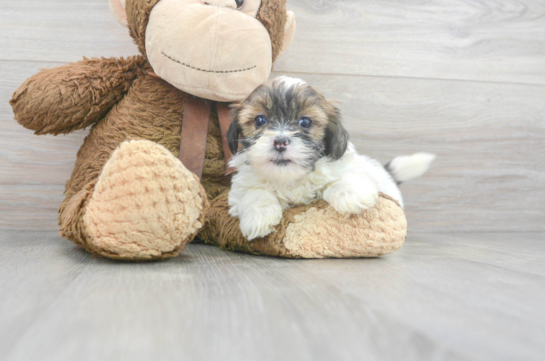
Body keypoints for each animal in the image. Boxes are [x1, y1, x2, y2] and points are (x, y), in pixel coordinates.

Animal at [225, 75, 434, 239]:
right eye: (260, 120)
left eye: (305, 122)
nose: (280, 142)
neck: (290, 178)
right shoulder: (240, 188)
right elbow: (255, 192)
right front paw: (258, 217)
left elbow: (340, 179)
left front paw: (351, 195)